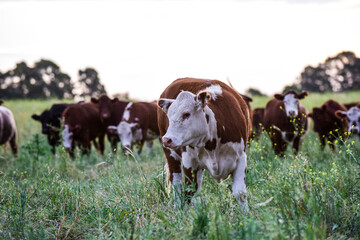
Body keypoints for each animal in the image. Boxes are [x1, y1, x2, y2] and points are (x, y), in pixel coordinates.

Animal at [156, 78, 252, 209]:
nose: (166, 139)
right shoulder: (189, 162)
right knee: (177, 184)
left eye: (186, 114)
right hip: (171, 156)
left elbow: (240, 193)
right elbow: (188, 192)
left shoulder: (241, 158)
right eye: (169, 116)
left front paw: (245, 213)